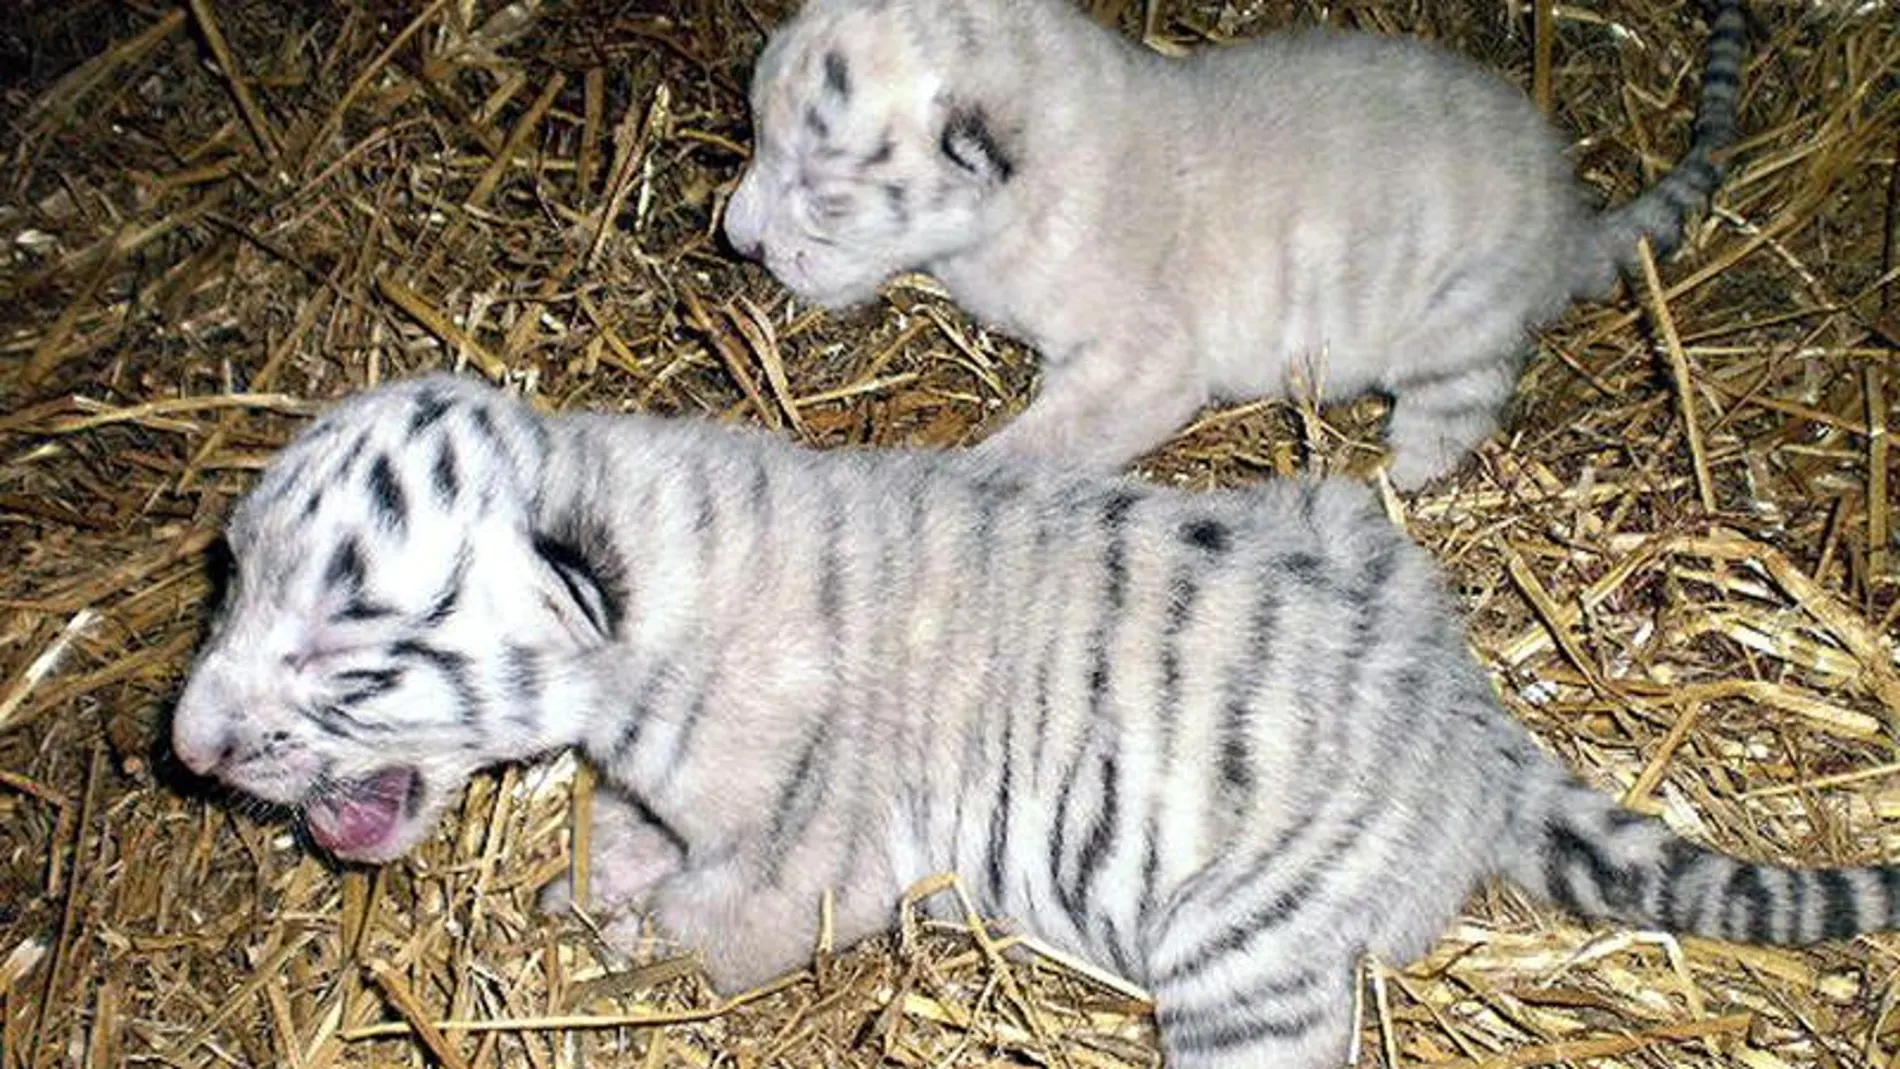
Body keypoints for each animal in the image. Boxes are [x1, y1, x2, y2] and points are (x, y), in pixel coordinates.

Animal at [172, 374, 1897, 1068]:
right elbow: (638, 833)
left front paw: (613, 940)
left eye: (346, 641)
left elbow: (708, 931)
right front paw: (595, 874)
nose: (183, 749)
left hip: (1245, 952)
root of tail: (1470, 727)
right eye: (231, 571)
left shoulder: (809, 860)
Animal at [721, 0, 1746, 489]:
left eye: (826, 193)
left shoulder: (1144, 366)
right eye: (755, 137)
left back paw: (1388, 476)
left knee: (1455, 418)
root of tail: (1569, 220)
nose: (738, 239)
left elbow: (1047, 440)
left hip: (1458, 328)